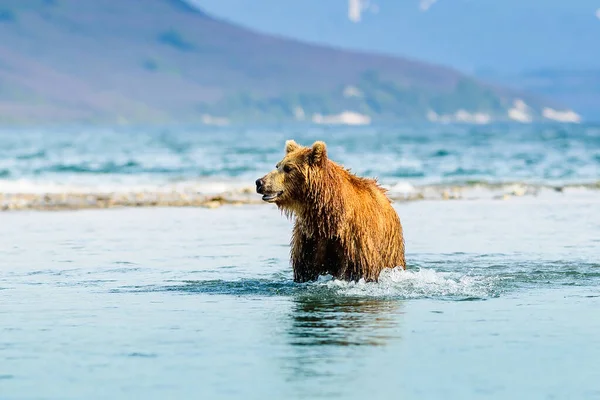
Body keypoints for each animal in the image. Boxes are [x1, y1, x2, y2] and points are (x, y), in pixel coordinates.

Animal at [255, 139, 406, 282]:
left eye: (288, 168)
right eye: (277, 165)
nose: (259, 182)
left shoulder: (356, 240)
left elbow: (362, 270)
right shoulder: (310, 241)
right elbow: (306, 269)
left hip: (390, 248)